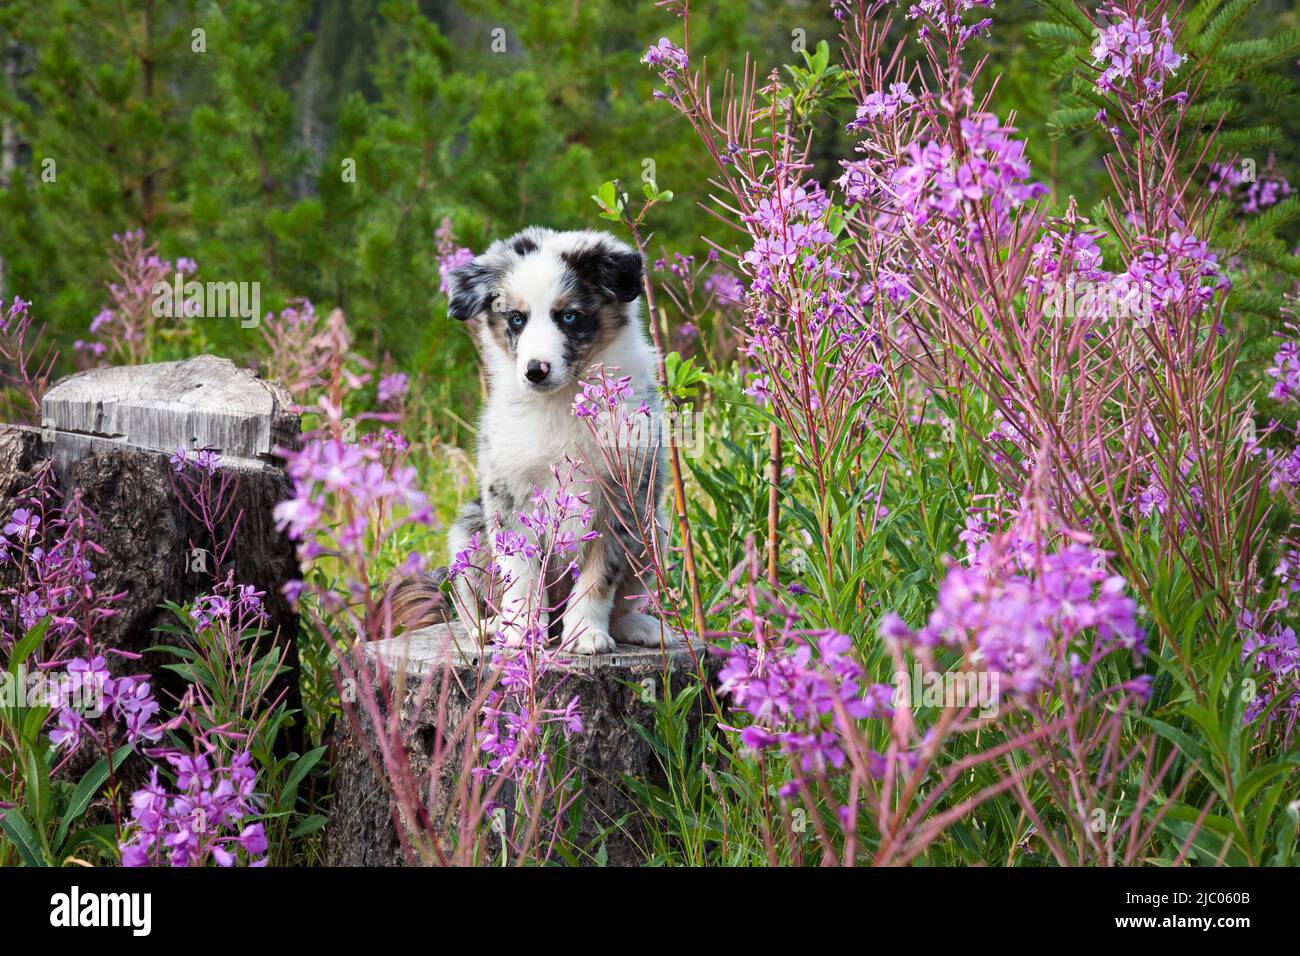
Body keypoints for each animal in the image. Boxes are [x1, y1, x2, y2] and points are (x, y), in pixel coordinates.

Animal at [390, 227, 676, 655]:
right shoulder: (508, 491)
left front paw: (585, 631)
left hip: (655, 529)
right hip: (467, 532)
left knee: (626, 598)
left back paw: (638, 626)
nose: (535, 371)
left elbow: (600, 574)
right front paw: (522, 630)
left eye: (569, 316)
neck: (562, 400)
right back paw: (491, 629)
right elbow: (521, 571)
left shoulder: (624, 493)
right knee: (468, 602)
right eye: (516, 319)